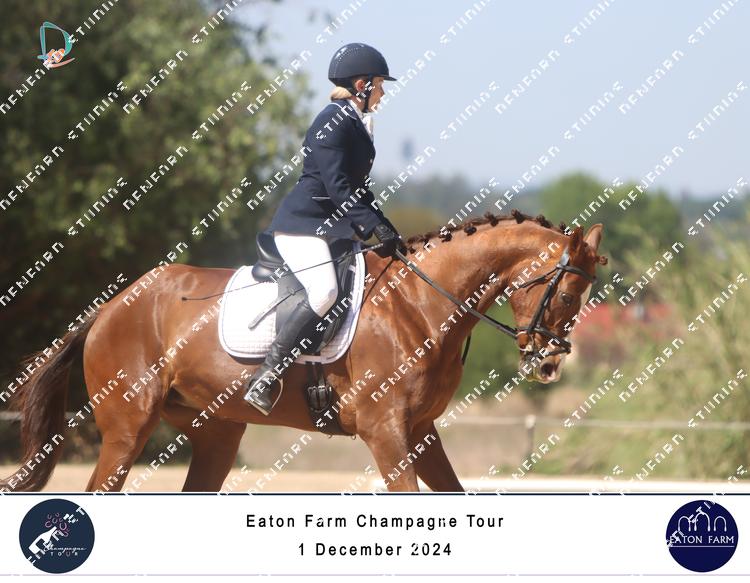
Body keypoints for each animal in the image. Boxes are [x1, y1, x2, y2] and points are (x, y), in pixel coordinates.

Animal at [0, 210, 606, 493]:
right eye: (567, 294)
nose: (548, 364)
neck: (418, 303)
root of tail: (110, 305)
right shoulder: (386, 432)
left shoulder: (420, 431)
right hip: (128, 429)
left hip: (216, 431)